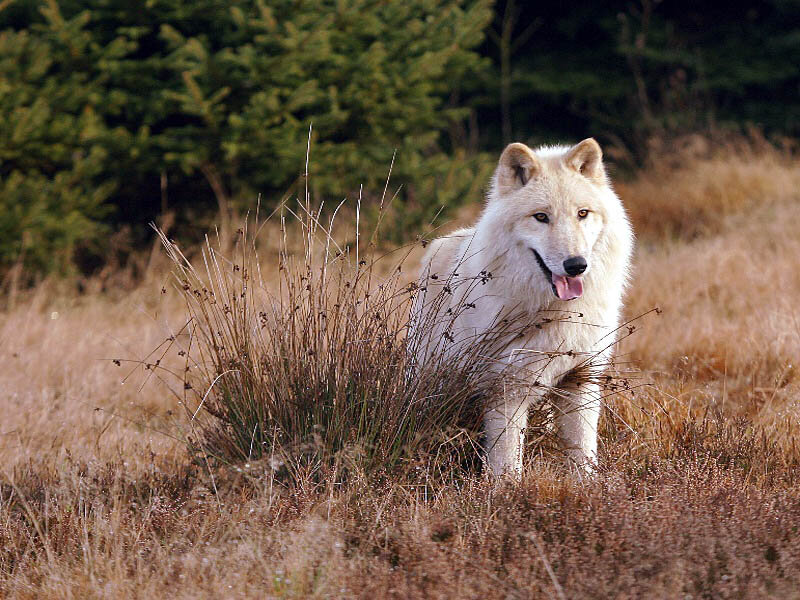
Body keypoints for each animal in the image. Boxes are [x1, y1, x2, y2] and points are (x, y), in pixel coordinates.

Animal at [410, 138, 633, 476]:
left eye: (582, 213)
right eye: (541, 217)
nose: (576, 265)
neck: (555, 312)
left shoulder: (581, 379)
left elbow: (583, 453)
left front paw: (588, 485)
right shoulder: (506, 389)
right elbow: (506, 462)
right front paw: (506, 488)